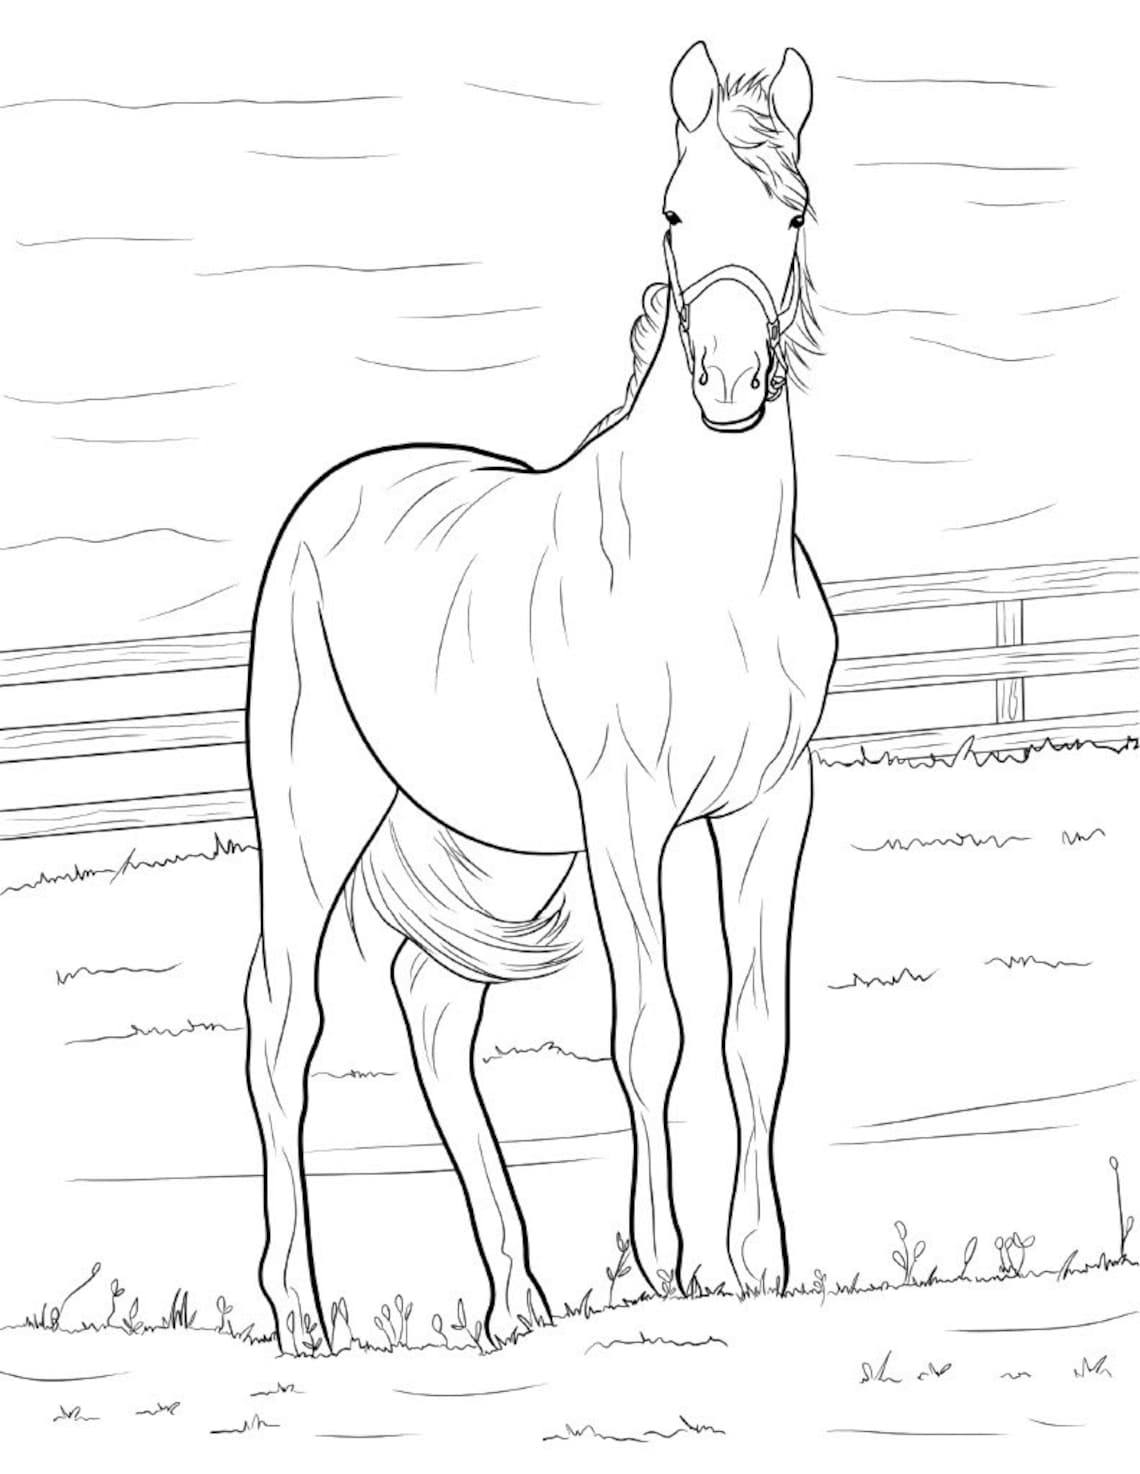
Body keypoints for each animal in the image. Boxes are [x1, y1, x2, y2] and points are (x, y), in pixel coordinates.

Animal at [244, 39, 837, 1355]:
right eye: (673, 212)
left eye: (793, 212)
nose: (730, 382)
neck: (703, 567)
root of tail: (324, 501)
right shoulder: (626, 817)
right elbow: (652, 1027)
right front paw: (666, 1263)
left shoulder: (770, 809)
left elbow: (757, 1033)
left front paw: (760, 1262)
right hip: (312, 817)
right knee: (284, 1027)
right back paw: (301, 1313)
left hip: (483, 844)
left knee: (434, 1022)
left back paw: (517, 1302)